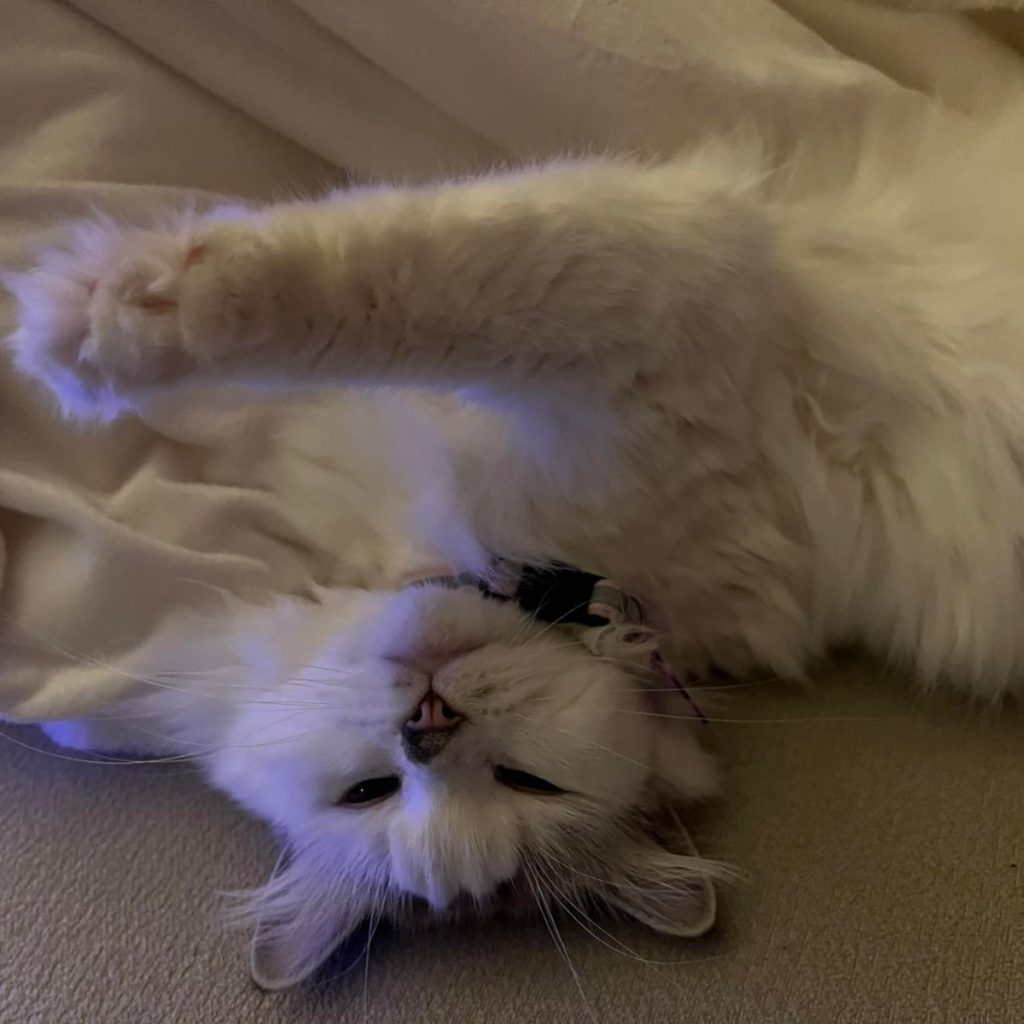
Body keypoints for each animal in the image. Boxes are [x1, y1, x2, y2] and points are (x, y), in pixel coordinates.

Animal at [8, 101, 1024, 983]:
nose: (427, 724)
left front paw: (101, 320)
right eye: (369, 793)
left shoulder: (648, 315)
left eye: (525, 782)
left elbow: (395, 284)